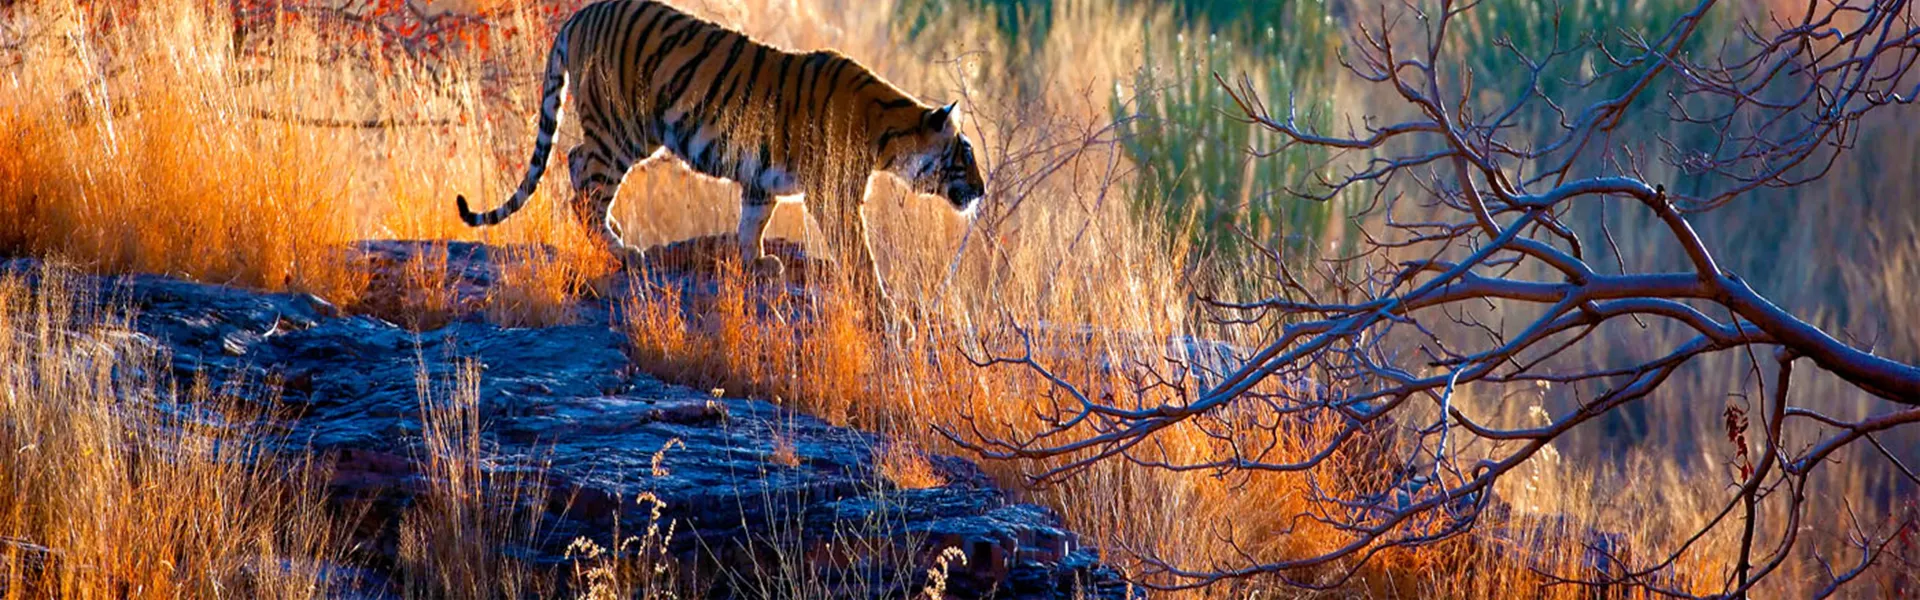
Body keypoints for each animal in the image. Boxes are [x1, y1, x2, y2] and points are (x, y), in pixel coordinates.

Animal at [454, 0, 985, 320]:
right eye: (964, 155)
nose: (981, 191)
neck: (890, 136)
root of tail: (582, 13)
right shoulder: (835, 199)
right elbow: (860, 255)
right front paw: (886, 308)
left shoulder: (761, 181)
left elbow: (752, 222)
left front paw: (758, 263)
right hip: (623, 128)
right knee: (584, 181)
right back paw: (622, 249)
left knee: (576, 163)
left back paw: (615, 232)